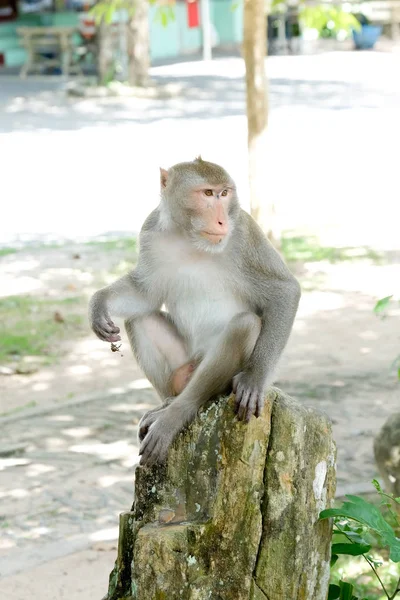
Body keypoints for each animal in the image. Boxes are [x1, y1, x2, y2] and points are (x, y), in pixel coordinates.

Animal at [88, 157, 300, 466]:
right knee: (139, 319)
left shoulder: (244, 232)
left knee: (245, 325)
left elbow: (284, 291)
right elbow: (144, 294)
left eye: (224, 193)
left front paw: (255, 377)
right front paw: (99, 302)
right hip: (182, 366)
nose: (222, 220)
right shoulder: (150, 232)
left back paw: (177, 412)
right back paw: (166, 402)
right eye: (208, 194)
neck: (189, 236)